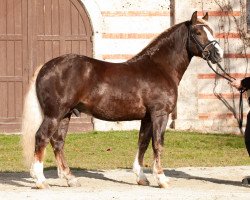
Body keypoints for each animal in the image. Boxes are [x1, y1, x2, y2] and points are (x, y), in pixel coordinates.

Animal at [22, 11, 223, 188]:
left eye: (211, 31)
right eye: (198, 32)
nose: (218, 54)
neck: (160, 68)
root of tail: (45, 67)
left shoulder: (147, 117)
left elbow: (143, 143)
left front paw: (141, 178)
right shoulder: (160, 114)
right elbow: (158, 144)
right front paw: (162, 179)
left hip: (65, 115)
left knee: (58, 142)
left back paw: (70, 179)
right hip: (54, 115)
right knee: (41, 137)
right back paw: (40, 181)